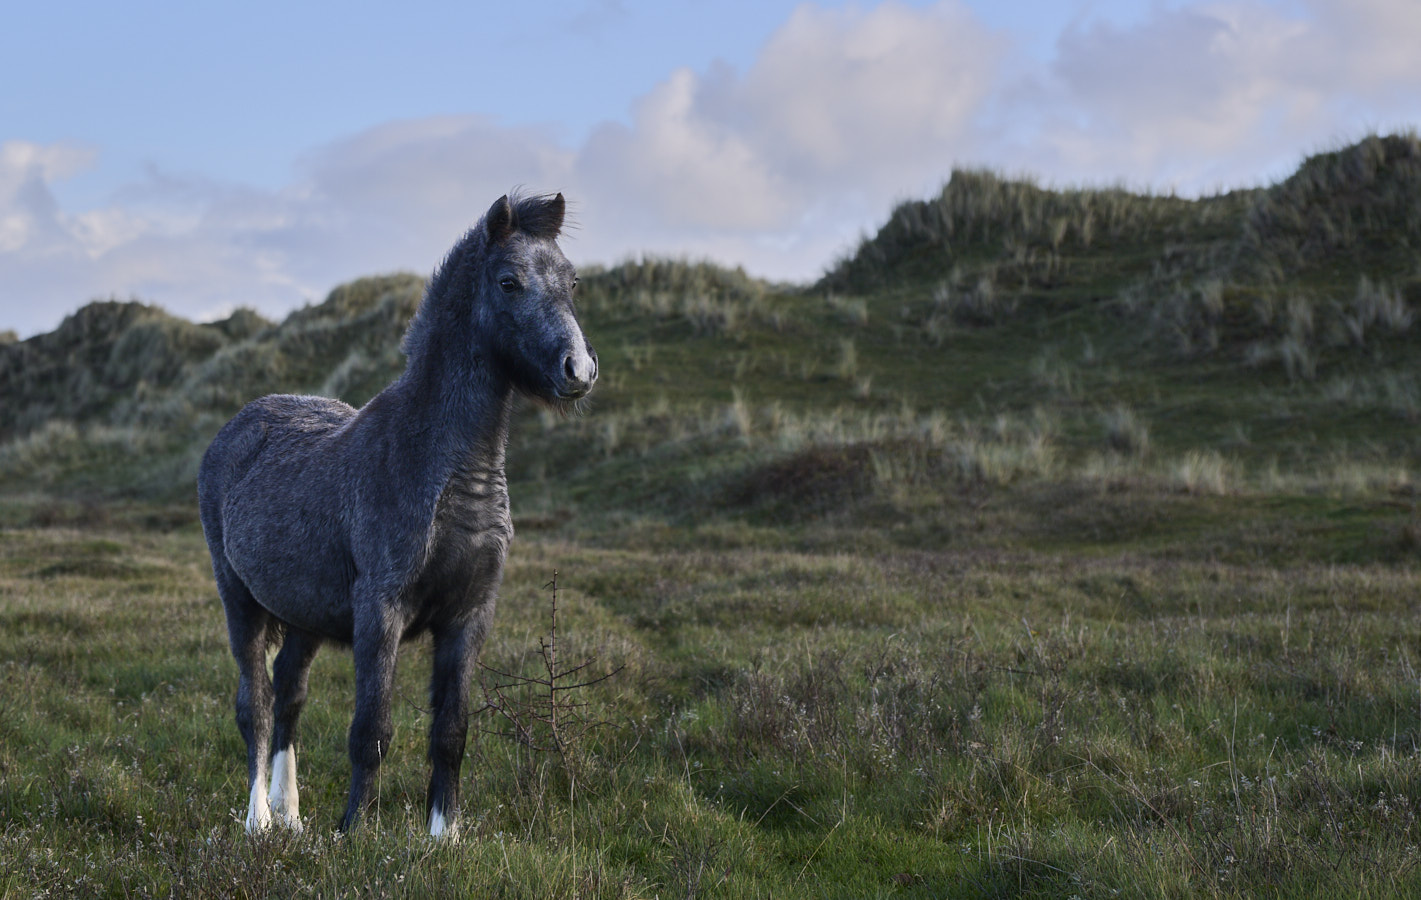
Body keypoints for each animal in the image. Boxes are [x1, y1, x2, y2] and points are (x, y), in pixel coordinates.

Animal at [197, 191, 596, 838]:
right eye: (508, 282)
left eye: (572, 280)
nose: (577, 369)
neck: (443, 466)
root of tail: (239, 425)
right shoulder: (379, 612)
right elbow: (371, 732)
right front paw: (353, 832)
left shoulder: (469, 617)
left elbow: (451, 732)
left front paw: (444, 836)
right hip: (240, 602)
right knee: (253, 703)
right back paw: (258, 819)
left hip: (304, 616)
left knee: (289, 696)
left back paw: (291, 816)